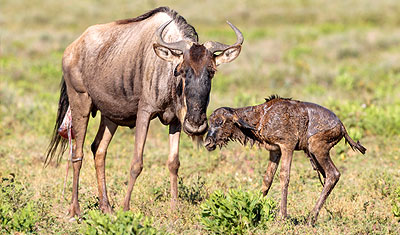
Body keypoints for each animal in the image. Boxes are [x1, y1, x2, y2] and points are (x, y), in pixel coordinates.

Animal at [205, 94, 368, 225]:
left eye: (220, 122)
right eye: (210, 122)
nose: (207, 143)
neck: (262, 117)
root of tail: (342, 126)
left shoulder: (287, 146)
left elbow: (284, 176)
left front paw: (282, 217)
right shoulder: (274, 150)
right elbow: (267, 179)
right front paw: (256, 207)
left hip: (317, 147)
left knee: (333, 174)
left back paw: (311, 218)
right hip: (314, 154)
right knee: (328, 176)